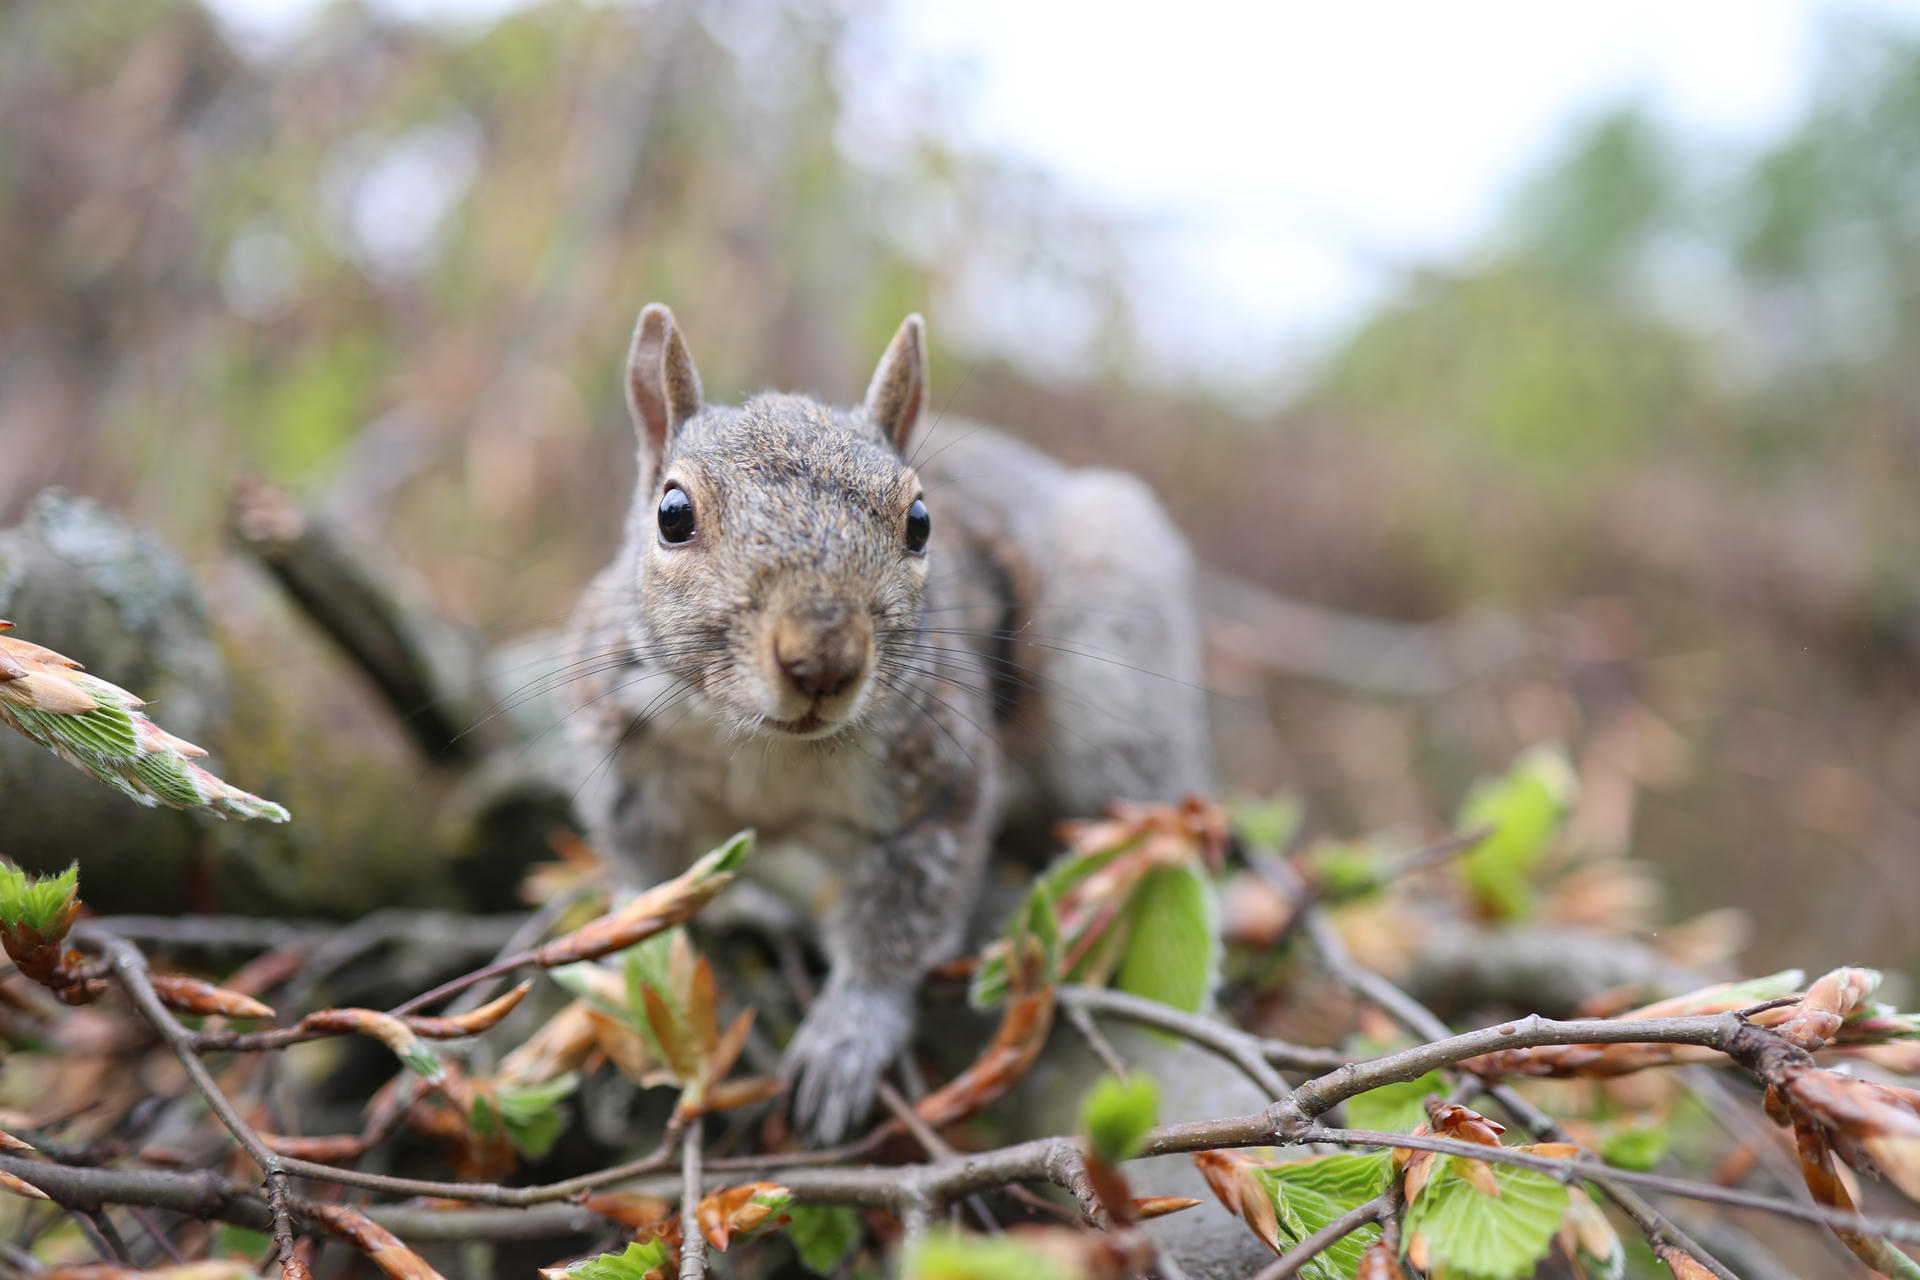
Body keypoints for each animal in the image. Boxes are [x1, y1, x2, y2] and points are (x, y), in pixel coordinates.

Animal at [564, 303, 1211, 1143]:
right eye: (672, 515)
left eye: (921, 522)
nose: (822, 662)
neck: (761, 745)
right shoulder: (621, 758)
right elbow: (639, 878)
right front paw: (620, 960)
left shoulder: (940, 782)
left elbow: (898, 930)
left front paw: (847, 1038)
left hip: (1118, 702)